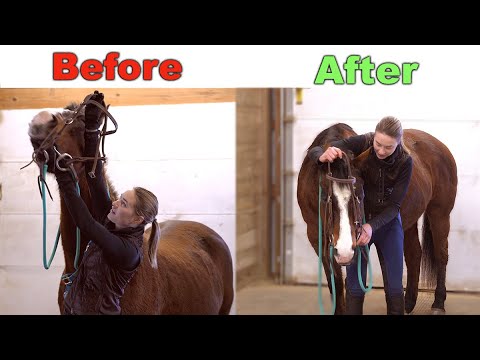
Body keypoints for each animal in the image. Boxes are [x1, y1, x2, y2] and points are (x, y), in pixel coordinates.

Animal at [296, 122, 458, 314]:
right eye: (325, 197)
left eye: (360, 194)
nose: (344, 250)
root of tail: (440, 146)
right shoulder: (316, 237)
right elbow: (335, 282)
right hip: (408, 220)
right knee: (414, 254)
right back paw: (408, 303)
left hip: (439, 213)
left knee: (441, 255)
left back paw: (438, 303)